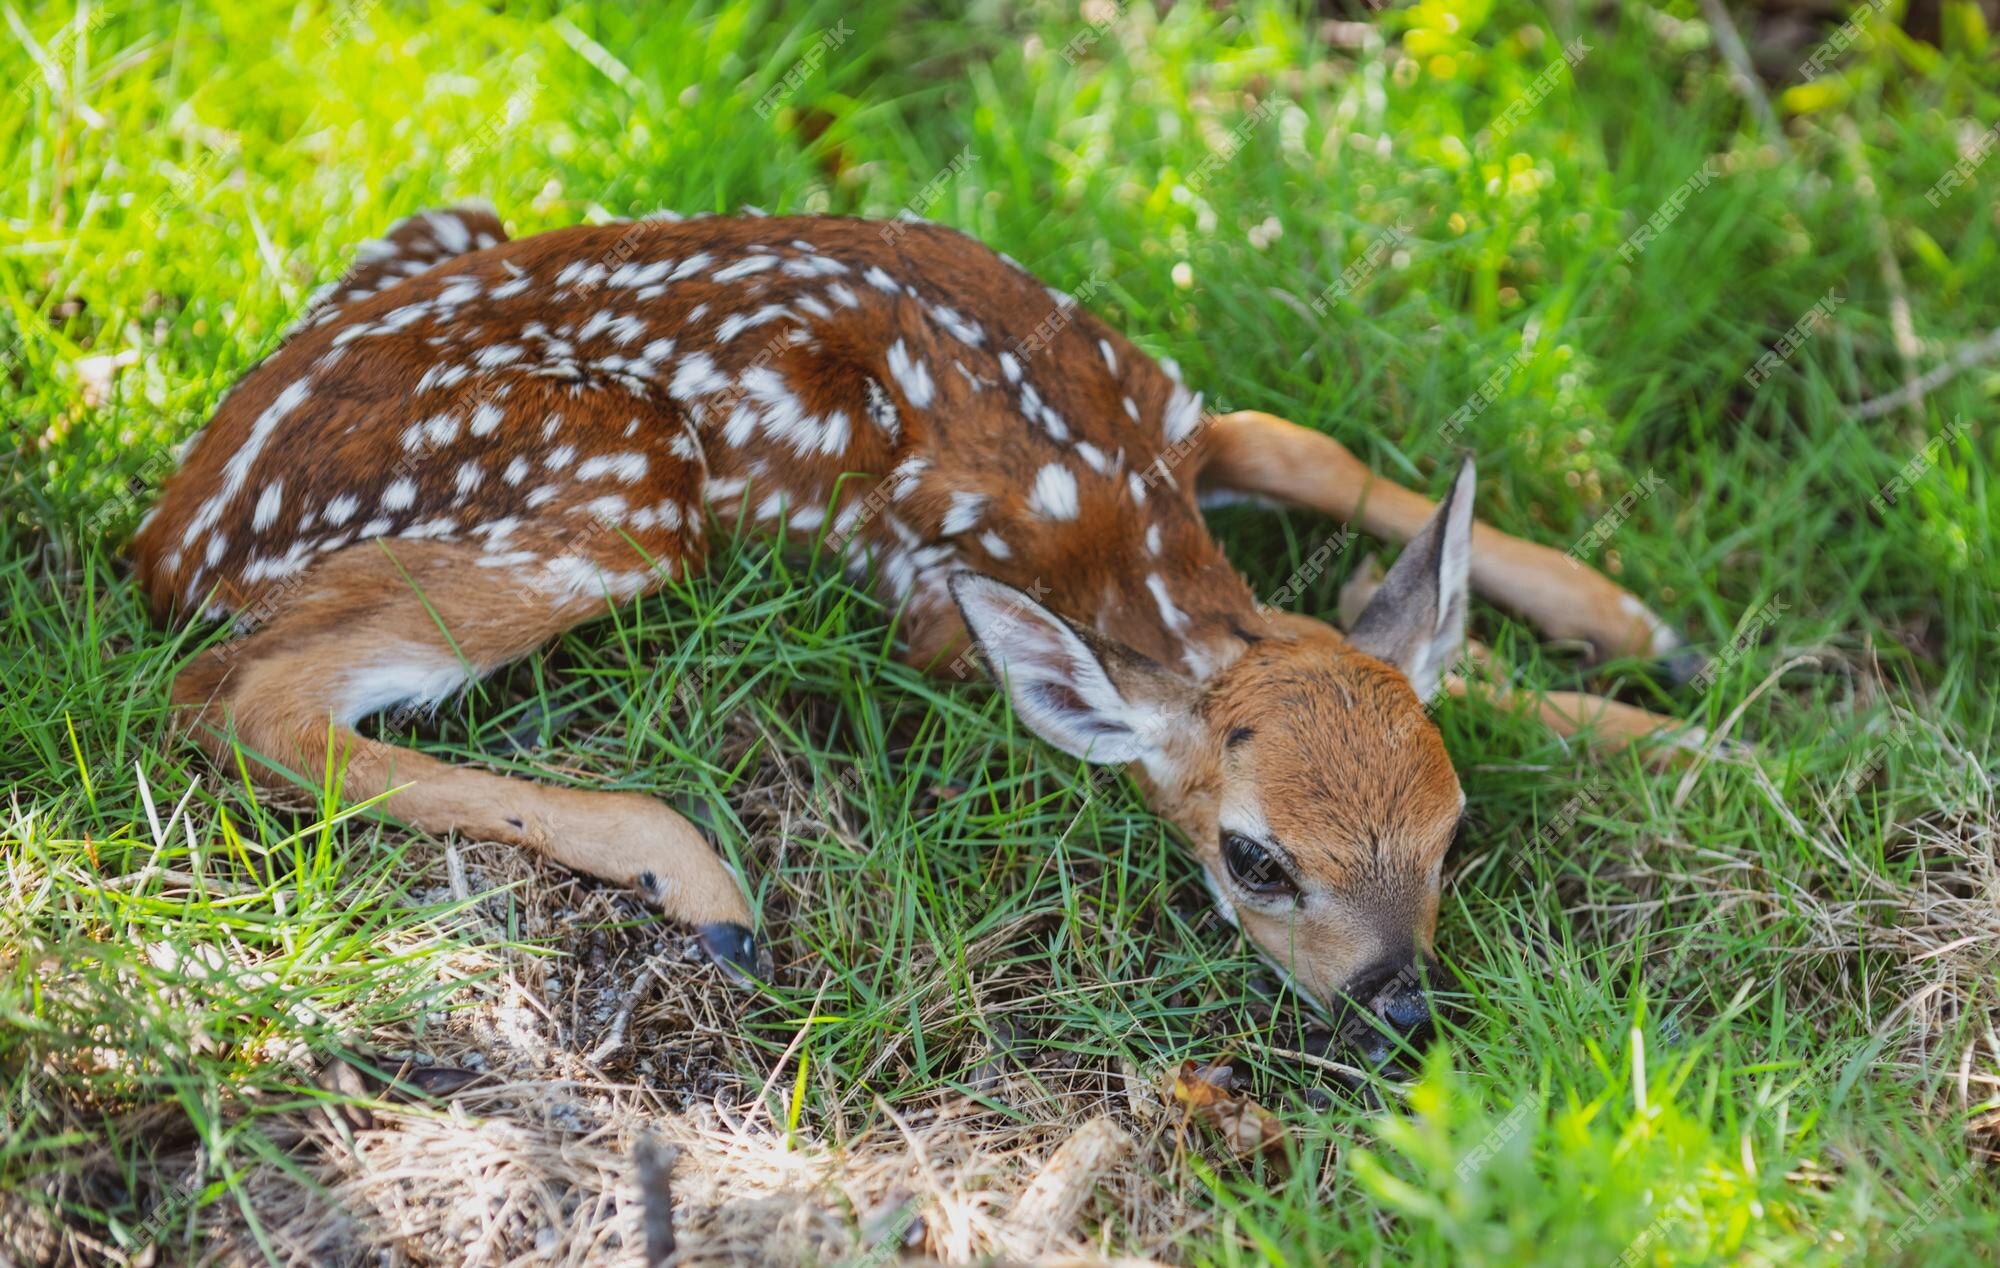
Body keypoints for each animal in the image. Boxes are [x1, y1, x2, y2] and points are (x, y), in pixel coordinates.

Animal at [133, 207, 1696, 1056]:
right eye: (1255, 859)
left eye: (1453, 830)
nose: (1401, 1007)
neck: (1117, 515)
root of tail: (169, 534)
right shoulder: (940, 609)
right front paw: (1667, 716)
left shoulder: (1186, 414)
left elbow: (1312, 456)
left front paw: (1653, 676)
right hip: (620, 487)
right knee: (244, 694)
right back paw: (702, 886)